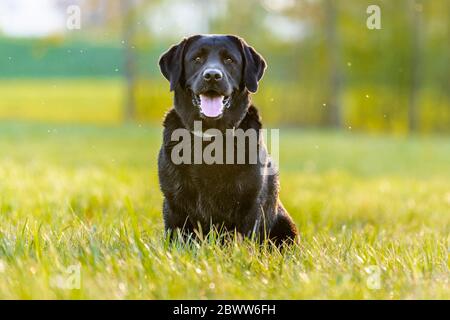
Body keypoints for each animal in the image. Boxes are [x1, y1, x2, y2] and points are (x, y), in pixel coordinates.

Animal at [158, 35, 298, 245]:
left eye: (229, 60)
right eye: (197, 59)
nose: (212, 76)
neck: (210, 139)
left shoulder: (251, 204)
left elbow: (244, 241)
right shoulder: (173, 202)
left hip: (286, 225)